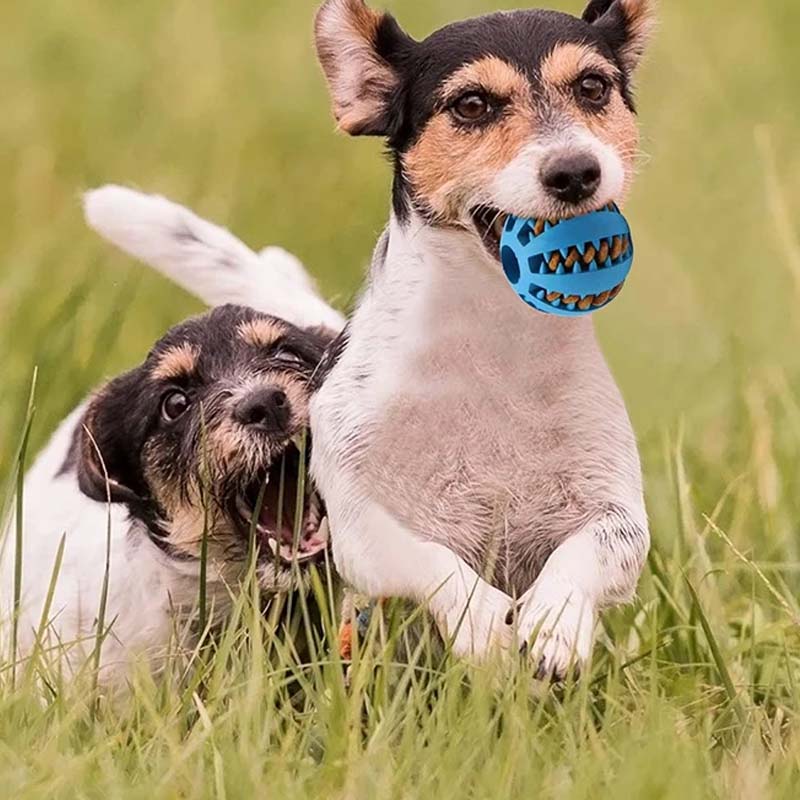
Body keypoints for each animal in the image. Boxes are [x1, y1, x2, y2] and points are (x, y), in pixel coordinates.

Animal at [310, 0, 652, 680]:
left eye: (592, 87)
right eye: (471, 104)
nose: (575, 170)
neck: (495, 344)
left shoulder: (618, 509)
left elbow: (592, 547)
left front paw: (555, 619)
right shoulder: (357, 522)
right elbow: (427, 558)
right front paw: (482, 620)